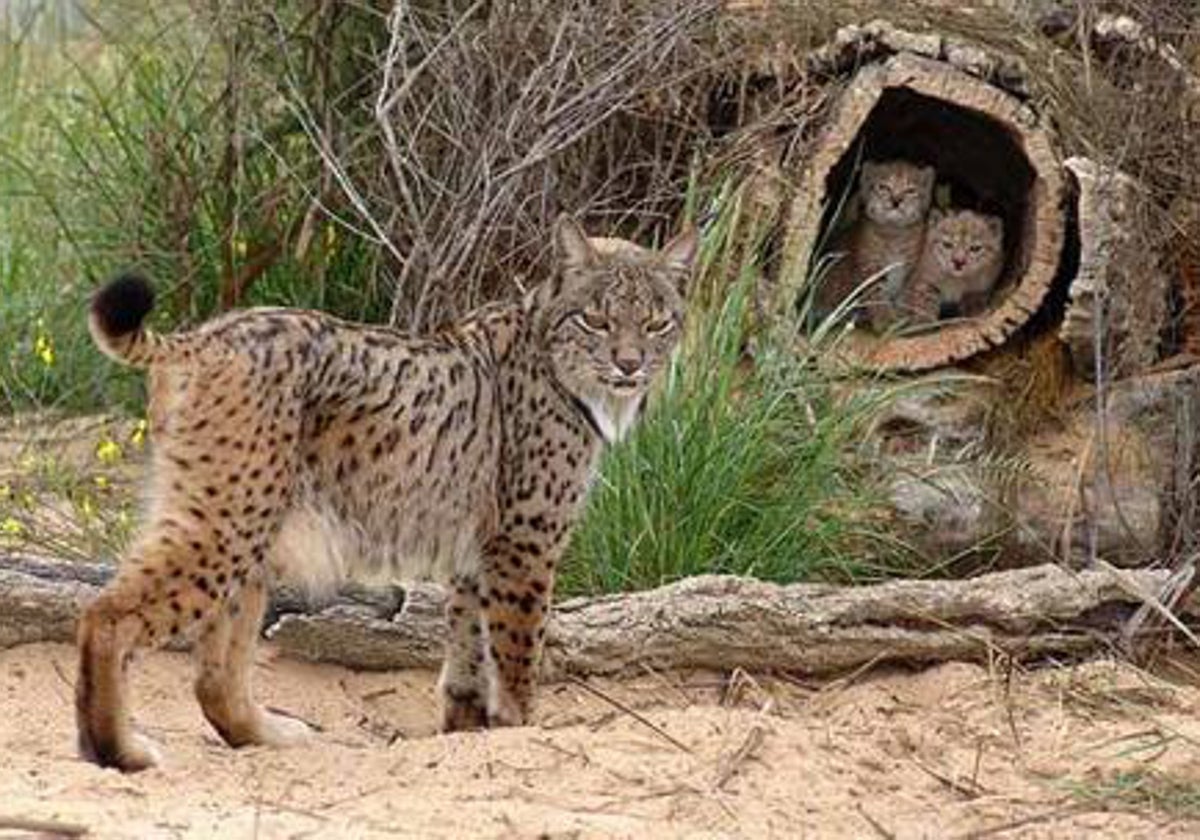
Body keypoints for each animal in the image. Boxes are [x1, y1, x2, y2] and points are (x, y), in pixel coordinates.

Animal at [77, 214, 696, 768]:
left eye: (656, 323)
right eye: (595, 320)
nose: (629, 365)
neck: (557, 358)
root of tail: (202, 336)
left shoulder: (476, 550)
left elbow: (468, 648)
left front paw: (466, 732)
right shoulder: (525, 544)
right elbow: (517, 650)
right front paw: (521, 729)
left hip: (247, 521)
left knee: (212, 678)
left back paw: (267, 737)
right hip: (229, 519)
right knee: (104, 613)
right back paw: (117, 751)